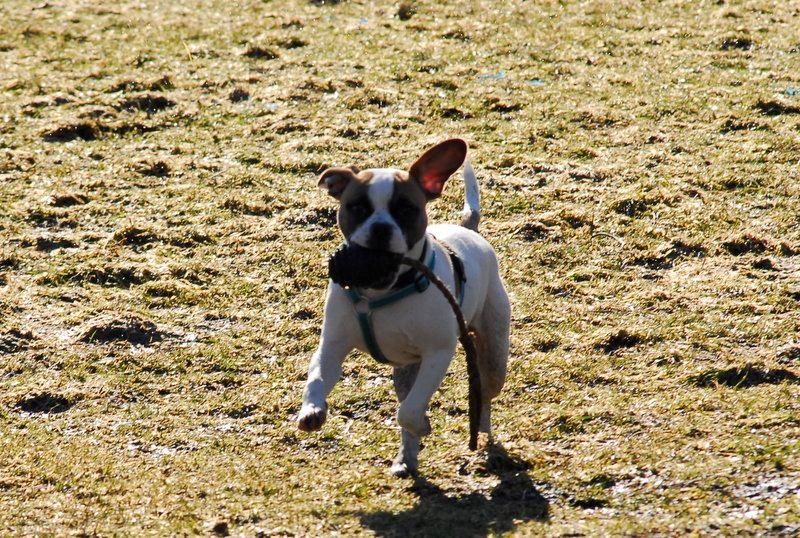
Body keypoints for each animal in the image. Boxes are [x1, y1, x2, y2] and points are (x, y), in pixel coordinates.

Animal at [296, 137, 510, 474]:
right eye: (358, 207)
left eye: (405, 209)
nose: (381, 228)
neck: (379, 293)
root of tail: (469, 229)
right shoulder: (332, 347)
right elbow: (316, 379)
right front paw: (311, 411)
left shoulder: (438, 354)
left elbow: (408, 412)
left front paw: (422, 424)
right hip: (406, 370)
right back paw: (406, 459)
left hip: (493, 353)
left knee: (484, 395)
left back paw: (483, 433)